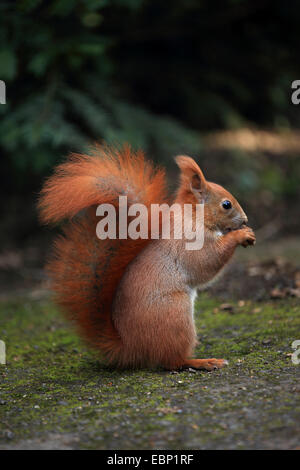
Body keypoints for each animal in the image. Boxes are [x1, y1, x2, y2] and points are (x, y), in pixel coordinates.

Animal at [38, 143, 255, 370]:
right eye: (226, 204)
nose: (246, 220)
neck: (193, 217)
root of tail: (131, 348)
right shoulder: (191, 242)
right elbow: (207, 262)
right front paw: (241, 235)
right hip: (175, 314)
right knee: (172, 361)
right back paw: (203, 361)